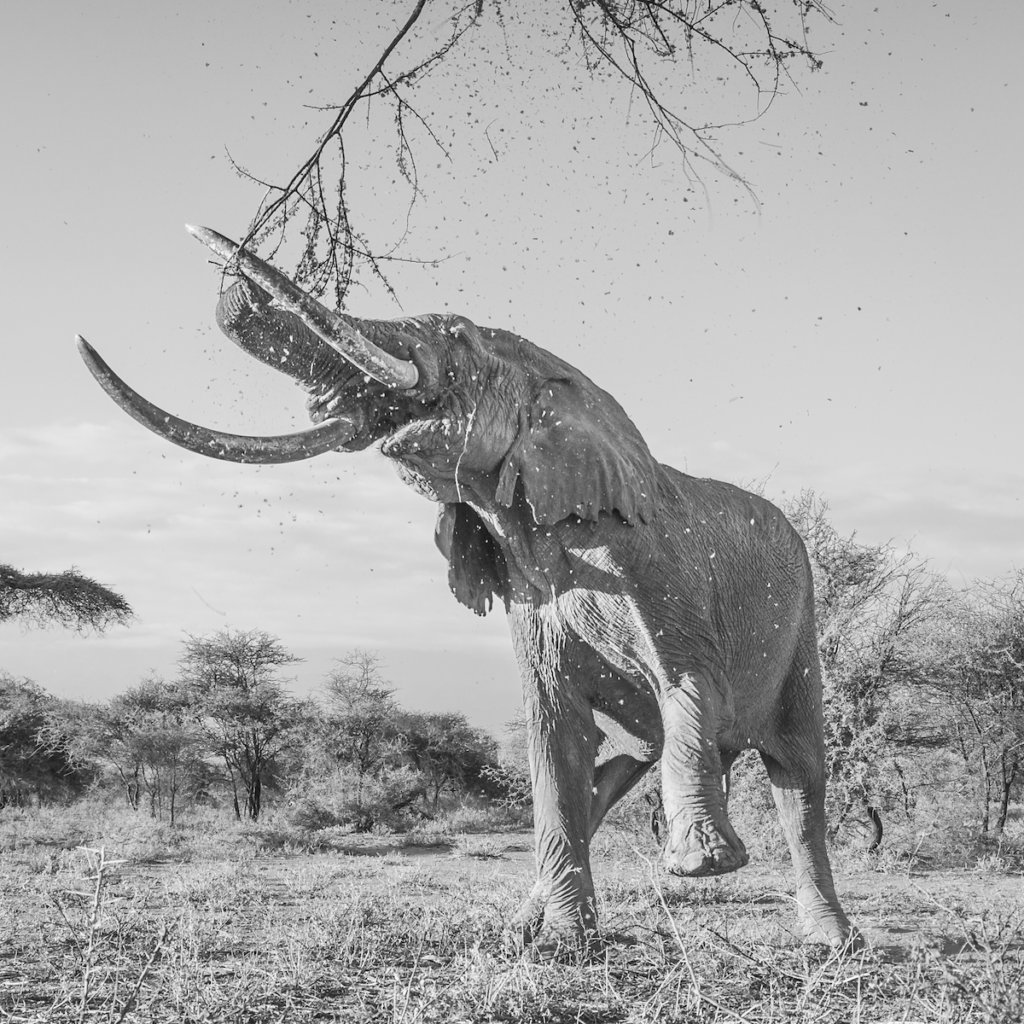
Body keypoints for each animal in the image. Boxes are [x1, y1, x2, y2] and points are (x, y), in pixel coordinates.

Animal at [77, 226, 856, 950]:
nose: (228, 260)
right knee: (620, 767)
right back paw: (528, 924)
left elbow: (692, 690)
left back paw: (832, 943)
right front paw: (566, 944)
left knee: (797, 779)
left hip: (800, 629)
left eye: (459, 337)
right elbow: (554, 736)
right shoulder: (531, 598)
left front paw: (700, 867)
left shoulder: (658, 570)